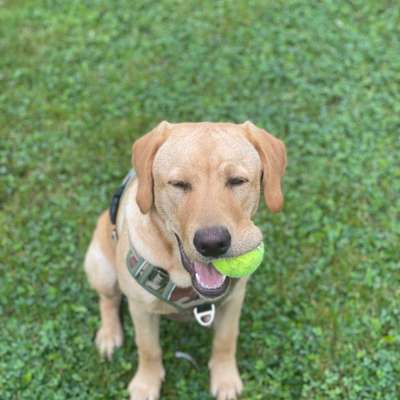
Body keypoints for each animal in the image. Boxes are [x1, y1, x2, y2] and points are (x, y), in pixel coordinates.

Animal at [83, 120, 286, 398]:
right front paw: (146, 384)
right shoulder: (140, 308)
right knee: (108, 300)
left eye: (237, 181)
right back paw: (109, 334)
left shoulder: (233, 301)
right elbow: (148, 349)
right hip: (101, 266)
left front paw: (225, 379)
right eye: (178, 184)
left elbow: (225, 341)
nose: (212, 243)